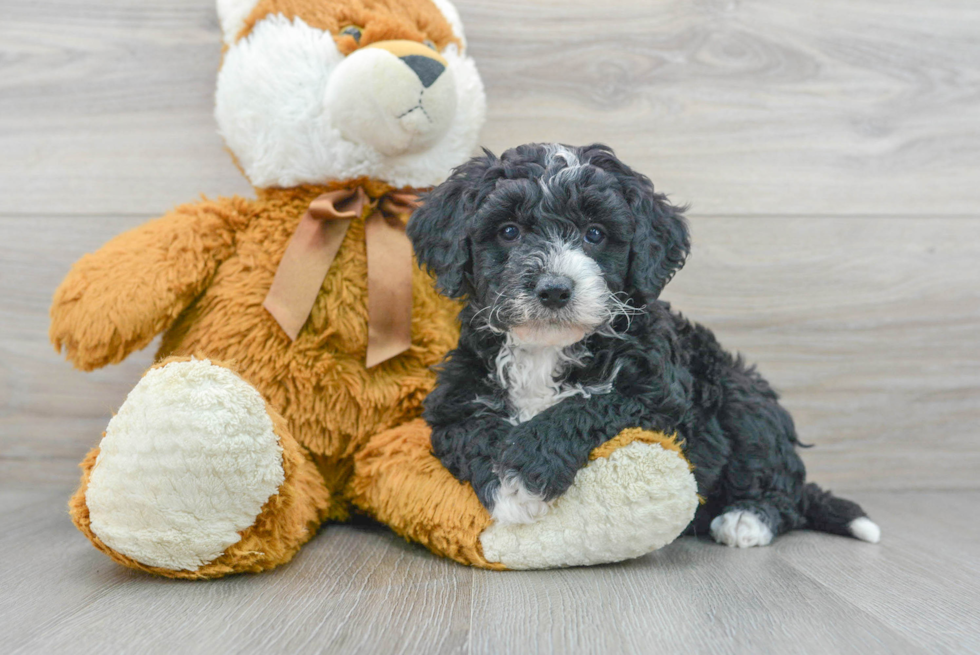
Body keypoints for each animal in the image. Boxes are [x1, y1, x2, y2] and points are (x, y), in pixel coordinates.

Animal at [406, 145, 880, 548]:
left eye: (595, 233)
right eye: (508, 231)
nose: (554, 289)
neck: (547, 349)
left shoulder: (661, 399)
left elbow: (585, 406)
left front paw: (523, 473)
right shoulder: (454, 401)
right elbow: (472, 430)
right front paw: (507, 485)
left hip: (742, 398)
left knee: (783, 487)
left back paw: (748, 517)